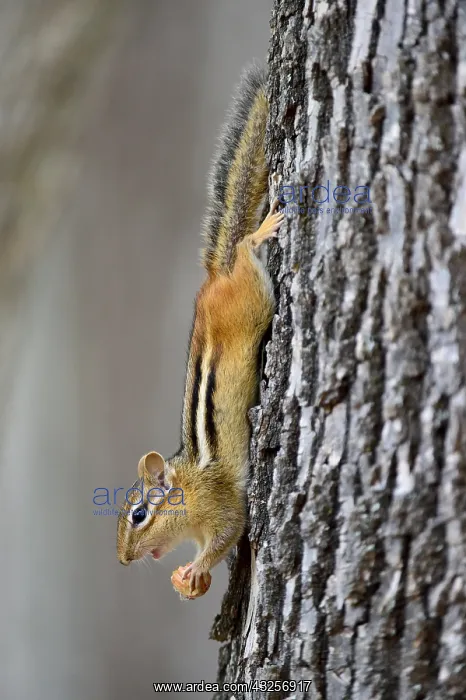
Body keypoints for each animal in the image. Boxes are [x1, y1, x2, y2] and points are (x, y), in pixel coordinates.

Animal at [116, 65, 284, 594]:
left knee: (246, 246)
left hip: (253, 294)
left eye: (140, 514)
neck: (188, 484)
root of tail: (215, 274)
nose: (123, 560)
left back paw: (263, 229)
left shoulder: (221, 505)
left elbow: (231, 531)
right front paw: (193, 581)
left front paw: (195, 568)